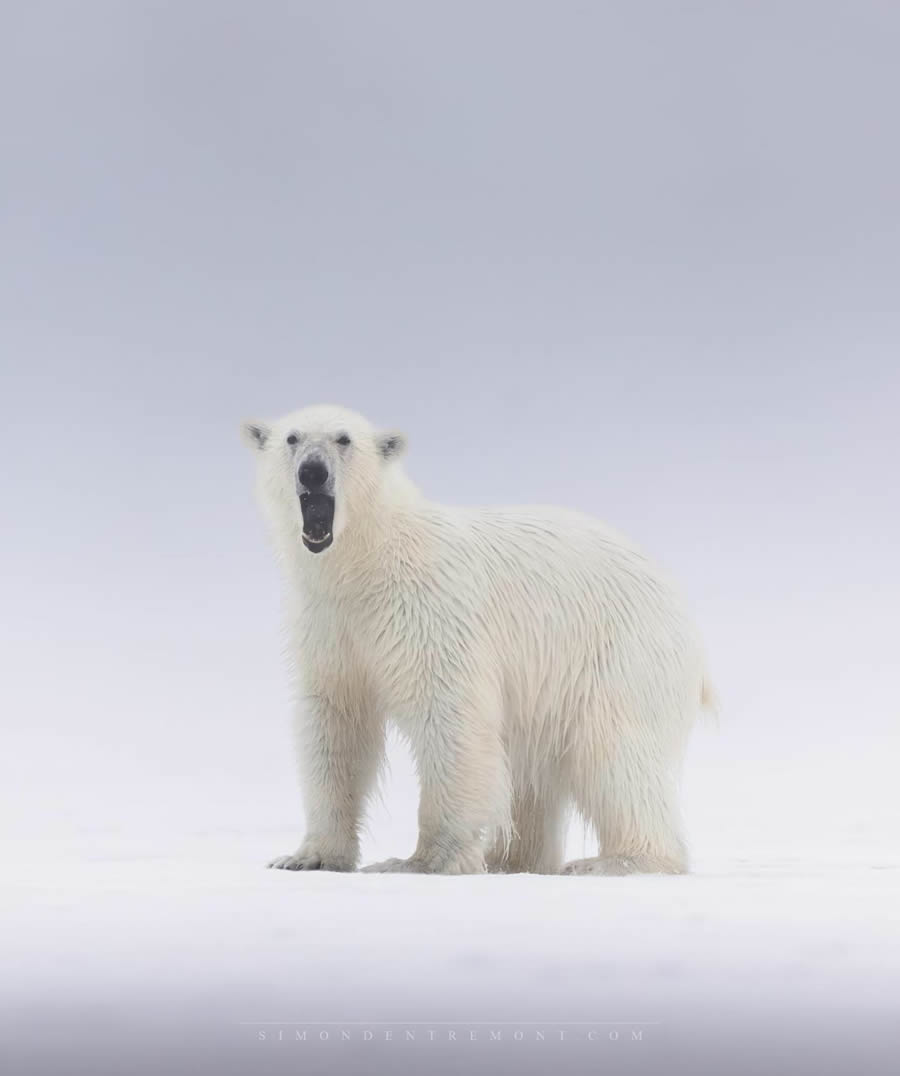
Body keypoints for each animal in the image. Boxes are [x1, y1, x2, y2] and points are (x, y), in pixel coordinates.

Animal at [242, 404, 714, 873]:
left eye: (344, 439)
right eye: (293, 438)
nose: (313, 472)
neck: (366, 563)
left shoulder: (429, 612)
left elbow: (449, 716)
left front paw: (422, 860)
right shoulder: (328, 626)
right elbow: (336, 724)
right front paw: (309, 857)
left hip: (620, 653)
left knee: (613, 751)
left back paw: (617, 860)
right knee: (531, 767)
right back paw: (512, 859)